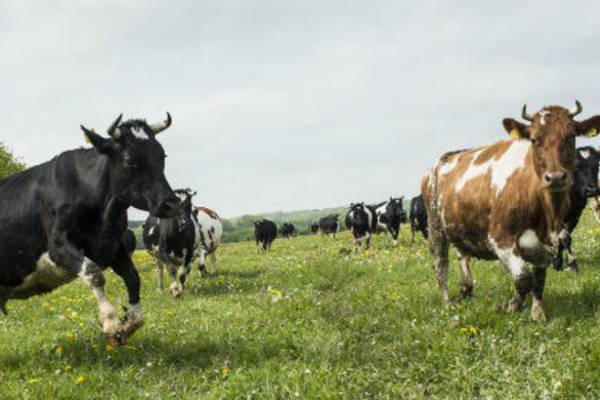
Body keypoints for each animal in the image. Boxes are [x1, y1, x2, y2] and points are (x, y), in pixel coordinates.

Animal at [0, 113, 179, 346]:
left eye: (162, 156)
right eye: (130, 160)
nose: (172, 204)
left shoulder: (113, 244)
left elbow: (133, 277)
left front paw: (130, 321)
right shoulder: (58, 247)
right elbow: (93, 273)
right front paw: (111, 323)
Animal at [422, 102, 600, 322]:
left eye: (571, 136)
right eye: (534, 140)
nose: (556, 177)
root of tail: (445, 157)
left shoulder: (547, 241)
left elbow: (538, 280)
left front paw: (537, 313)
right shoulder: (500, 238)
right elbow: (524, 278)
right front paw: (510, 306)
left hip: (458, 225)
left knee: (462, 255)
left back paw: (466, 288)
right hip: (435, 226)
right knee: (440, 265)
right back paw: (447, 304)